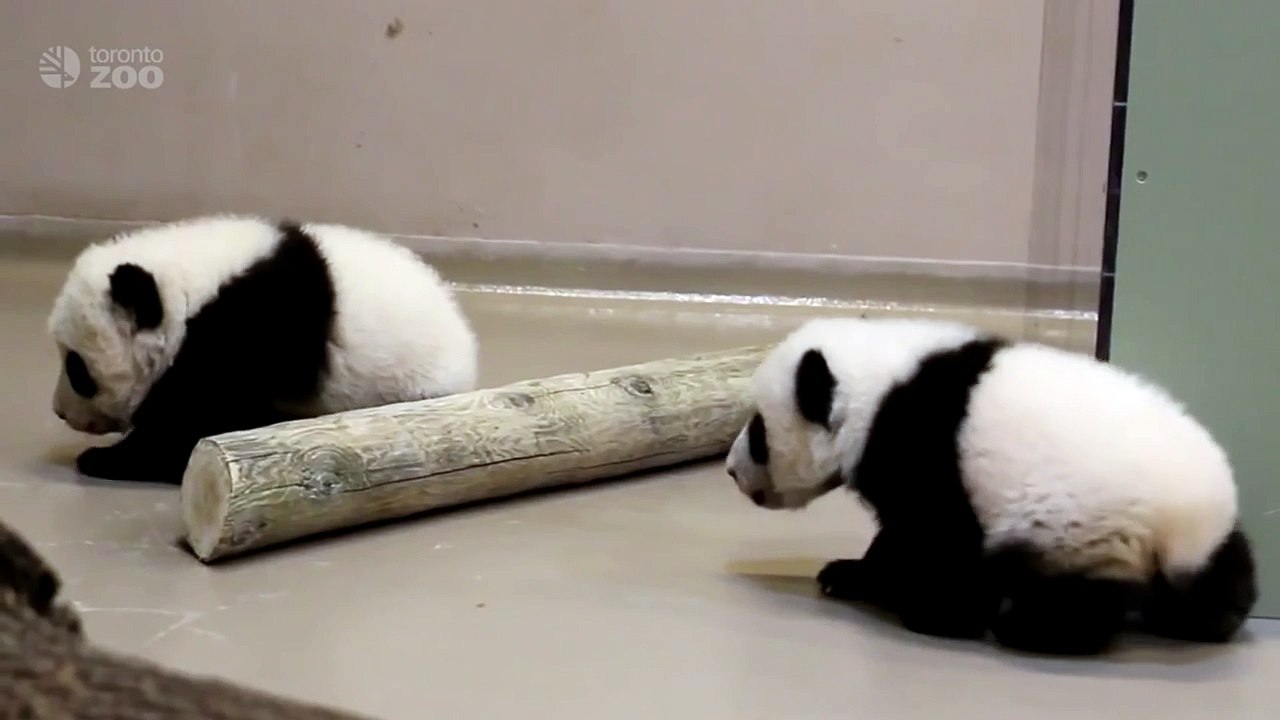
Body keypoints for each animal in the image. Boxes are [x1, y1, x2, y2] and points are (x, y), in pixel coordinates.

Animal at [47, 214, 480, 485]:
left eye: (77, 369)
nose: (60, 412)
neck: (190, 289)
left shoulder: (252, 332)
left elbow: (198, 418)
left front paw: (105, 458)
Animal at [724, 316, 1257, 655]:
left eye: (759, 432)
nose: (730, 470)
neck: (876, 386)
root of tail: (1181, 522)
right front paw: (849, 574)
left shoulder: (920, 445)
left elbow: (933, 536)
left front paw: (932, 610)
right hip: (1203, 539)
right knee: (1221, 576)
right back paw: (1209, 618)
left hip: (1081, 528)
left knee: (1076, 596)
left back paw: (1031, 628)